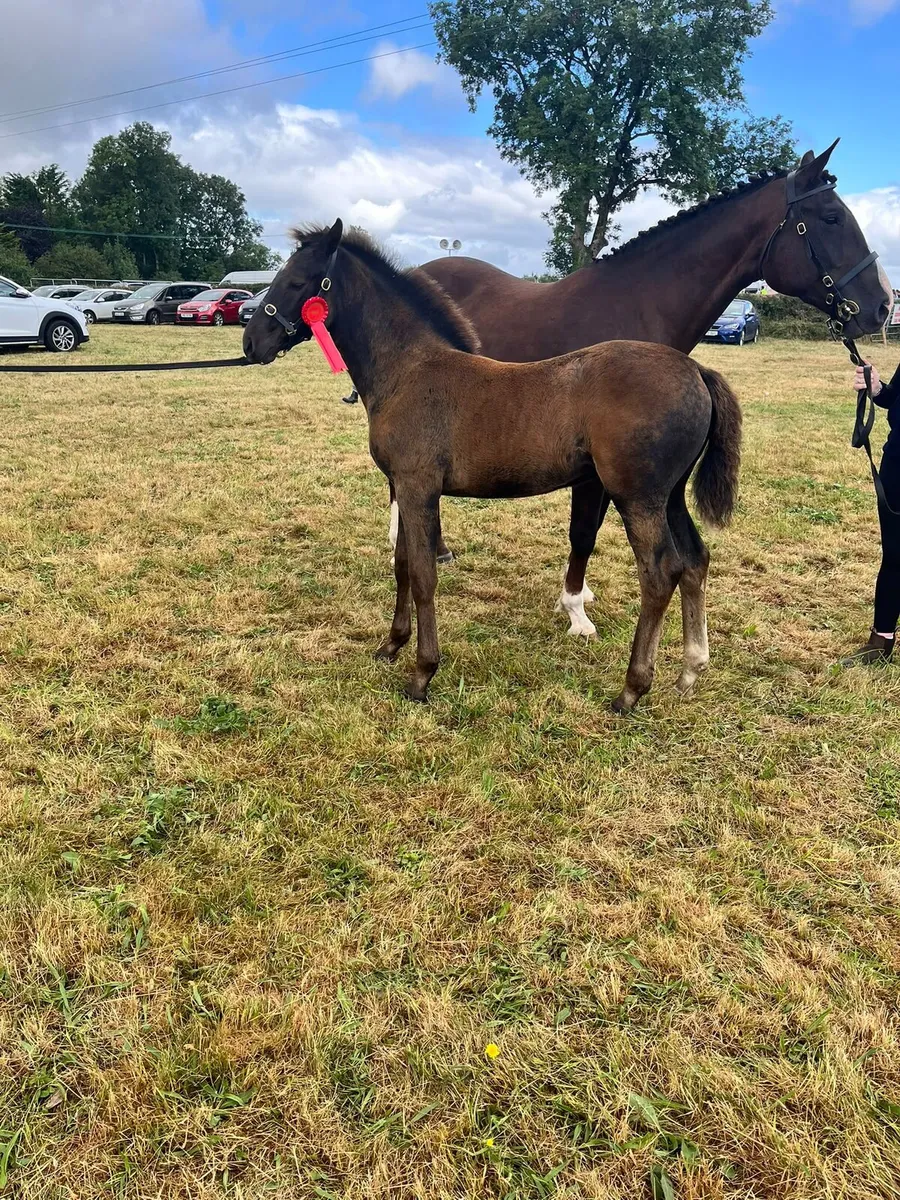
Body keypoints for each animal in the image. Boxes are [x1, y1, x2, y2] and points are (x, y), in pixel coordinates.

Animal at [243, 222, 742, 712]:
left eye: (296, 281)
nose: (251, 342)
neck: (408, 370)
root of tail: (697, 371)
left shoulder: (418, 487)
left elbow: (423, 575)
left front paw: (422, 675)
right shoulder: (404, 487)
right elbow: (402, 564)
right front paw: (391, 646)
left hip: (637, 496)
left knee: (660, 573)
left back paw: (632, 689)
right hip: (670, 495)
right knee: (695, 560)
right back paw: (690, 670)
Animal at [416, 141, 891, 635]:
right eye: (832, 217)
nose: (882, 305)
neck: (638, 305)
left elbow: (592, 530)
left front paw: (579, 596)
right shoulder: (594, 467)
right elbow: (582, 531)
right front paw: (575, 610)